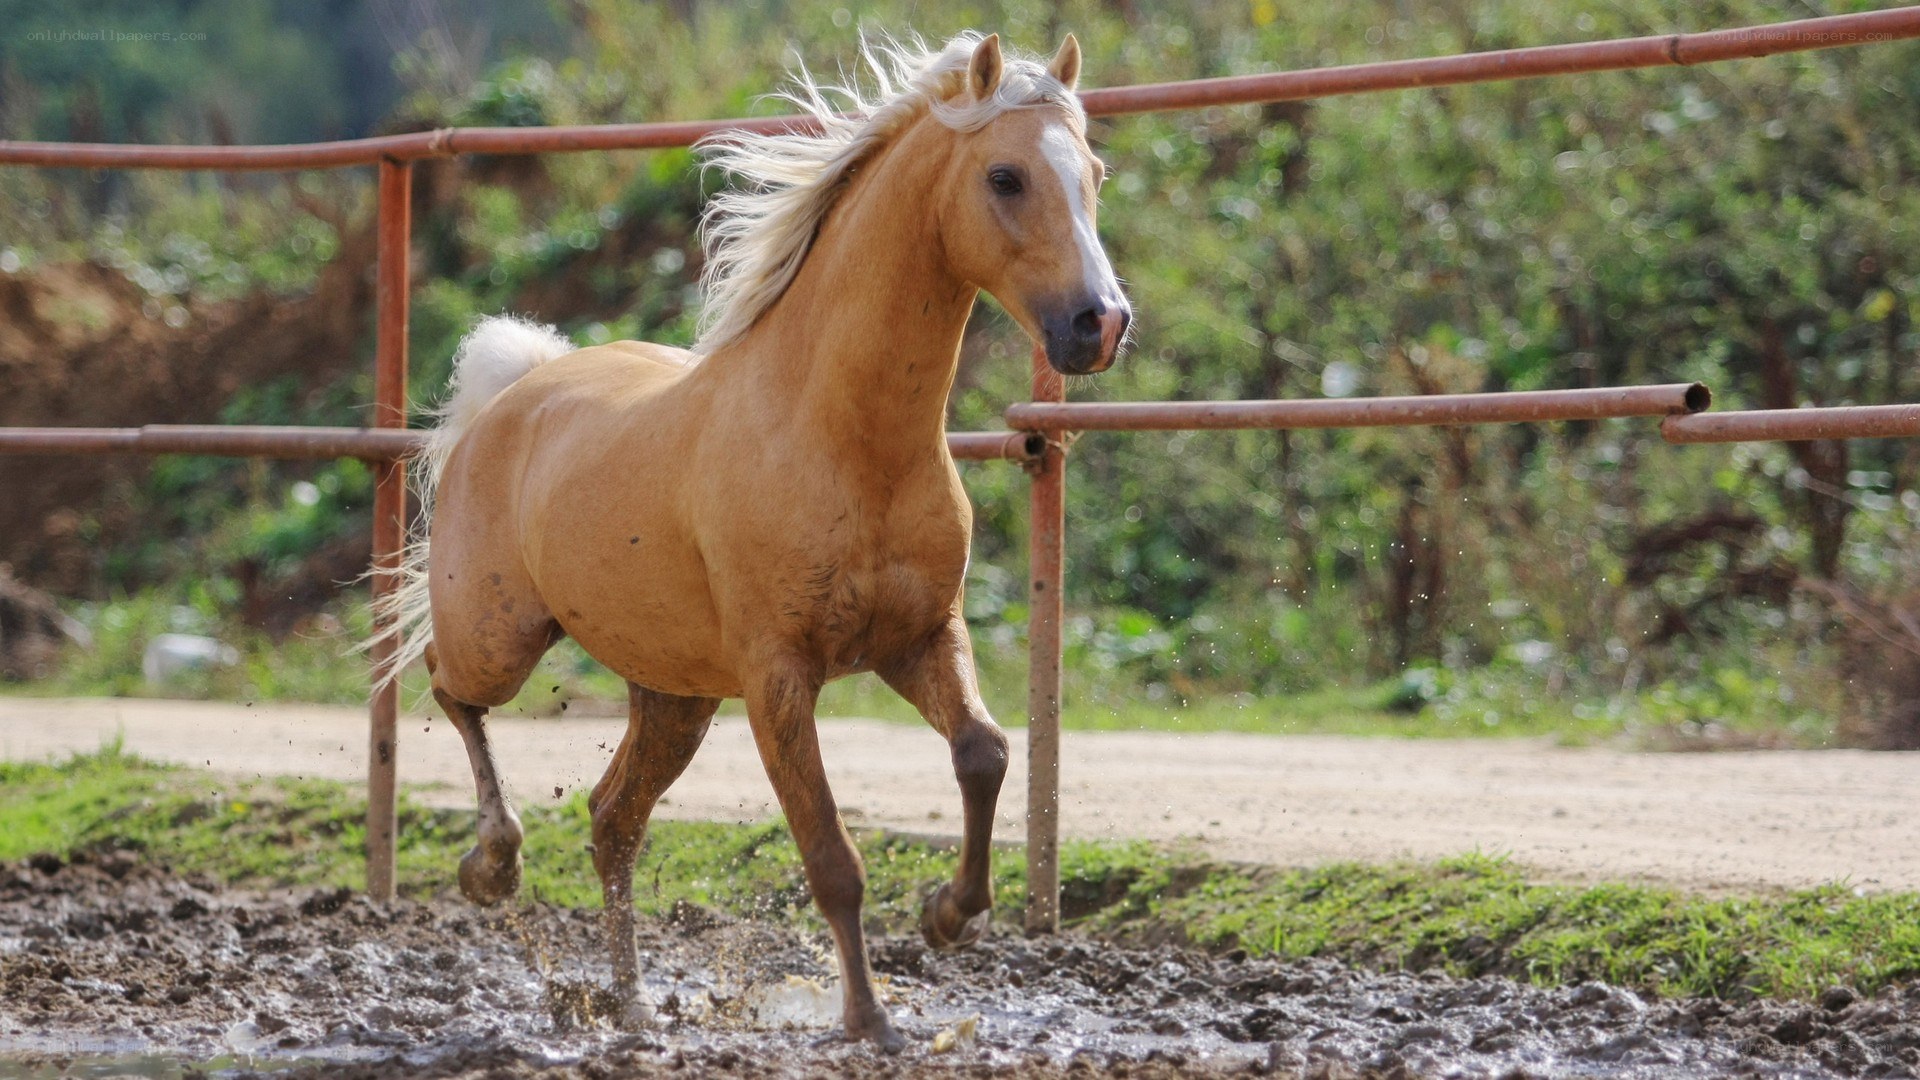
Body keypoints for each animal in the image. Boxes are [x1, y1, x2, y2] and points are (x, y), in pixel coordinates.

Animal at [372, 31, 1130, 1050]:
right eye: (1005, 176)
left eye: (1092, 173)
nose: (1101, 323)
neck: (844, 437)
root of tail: (516, 390)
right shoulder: (779, 677)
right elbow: (832, 856)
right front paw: (869, 1020)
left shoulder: (921, 637)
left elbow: (986, 752)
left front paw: (949, 915)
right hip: (502, 637)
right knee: (452, 690)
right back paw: (493, 866)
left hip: (675, 694)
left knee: (613, 820)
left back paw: (632, 1006)